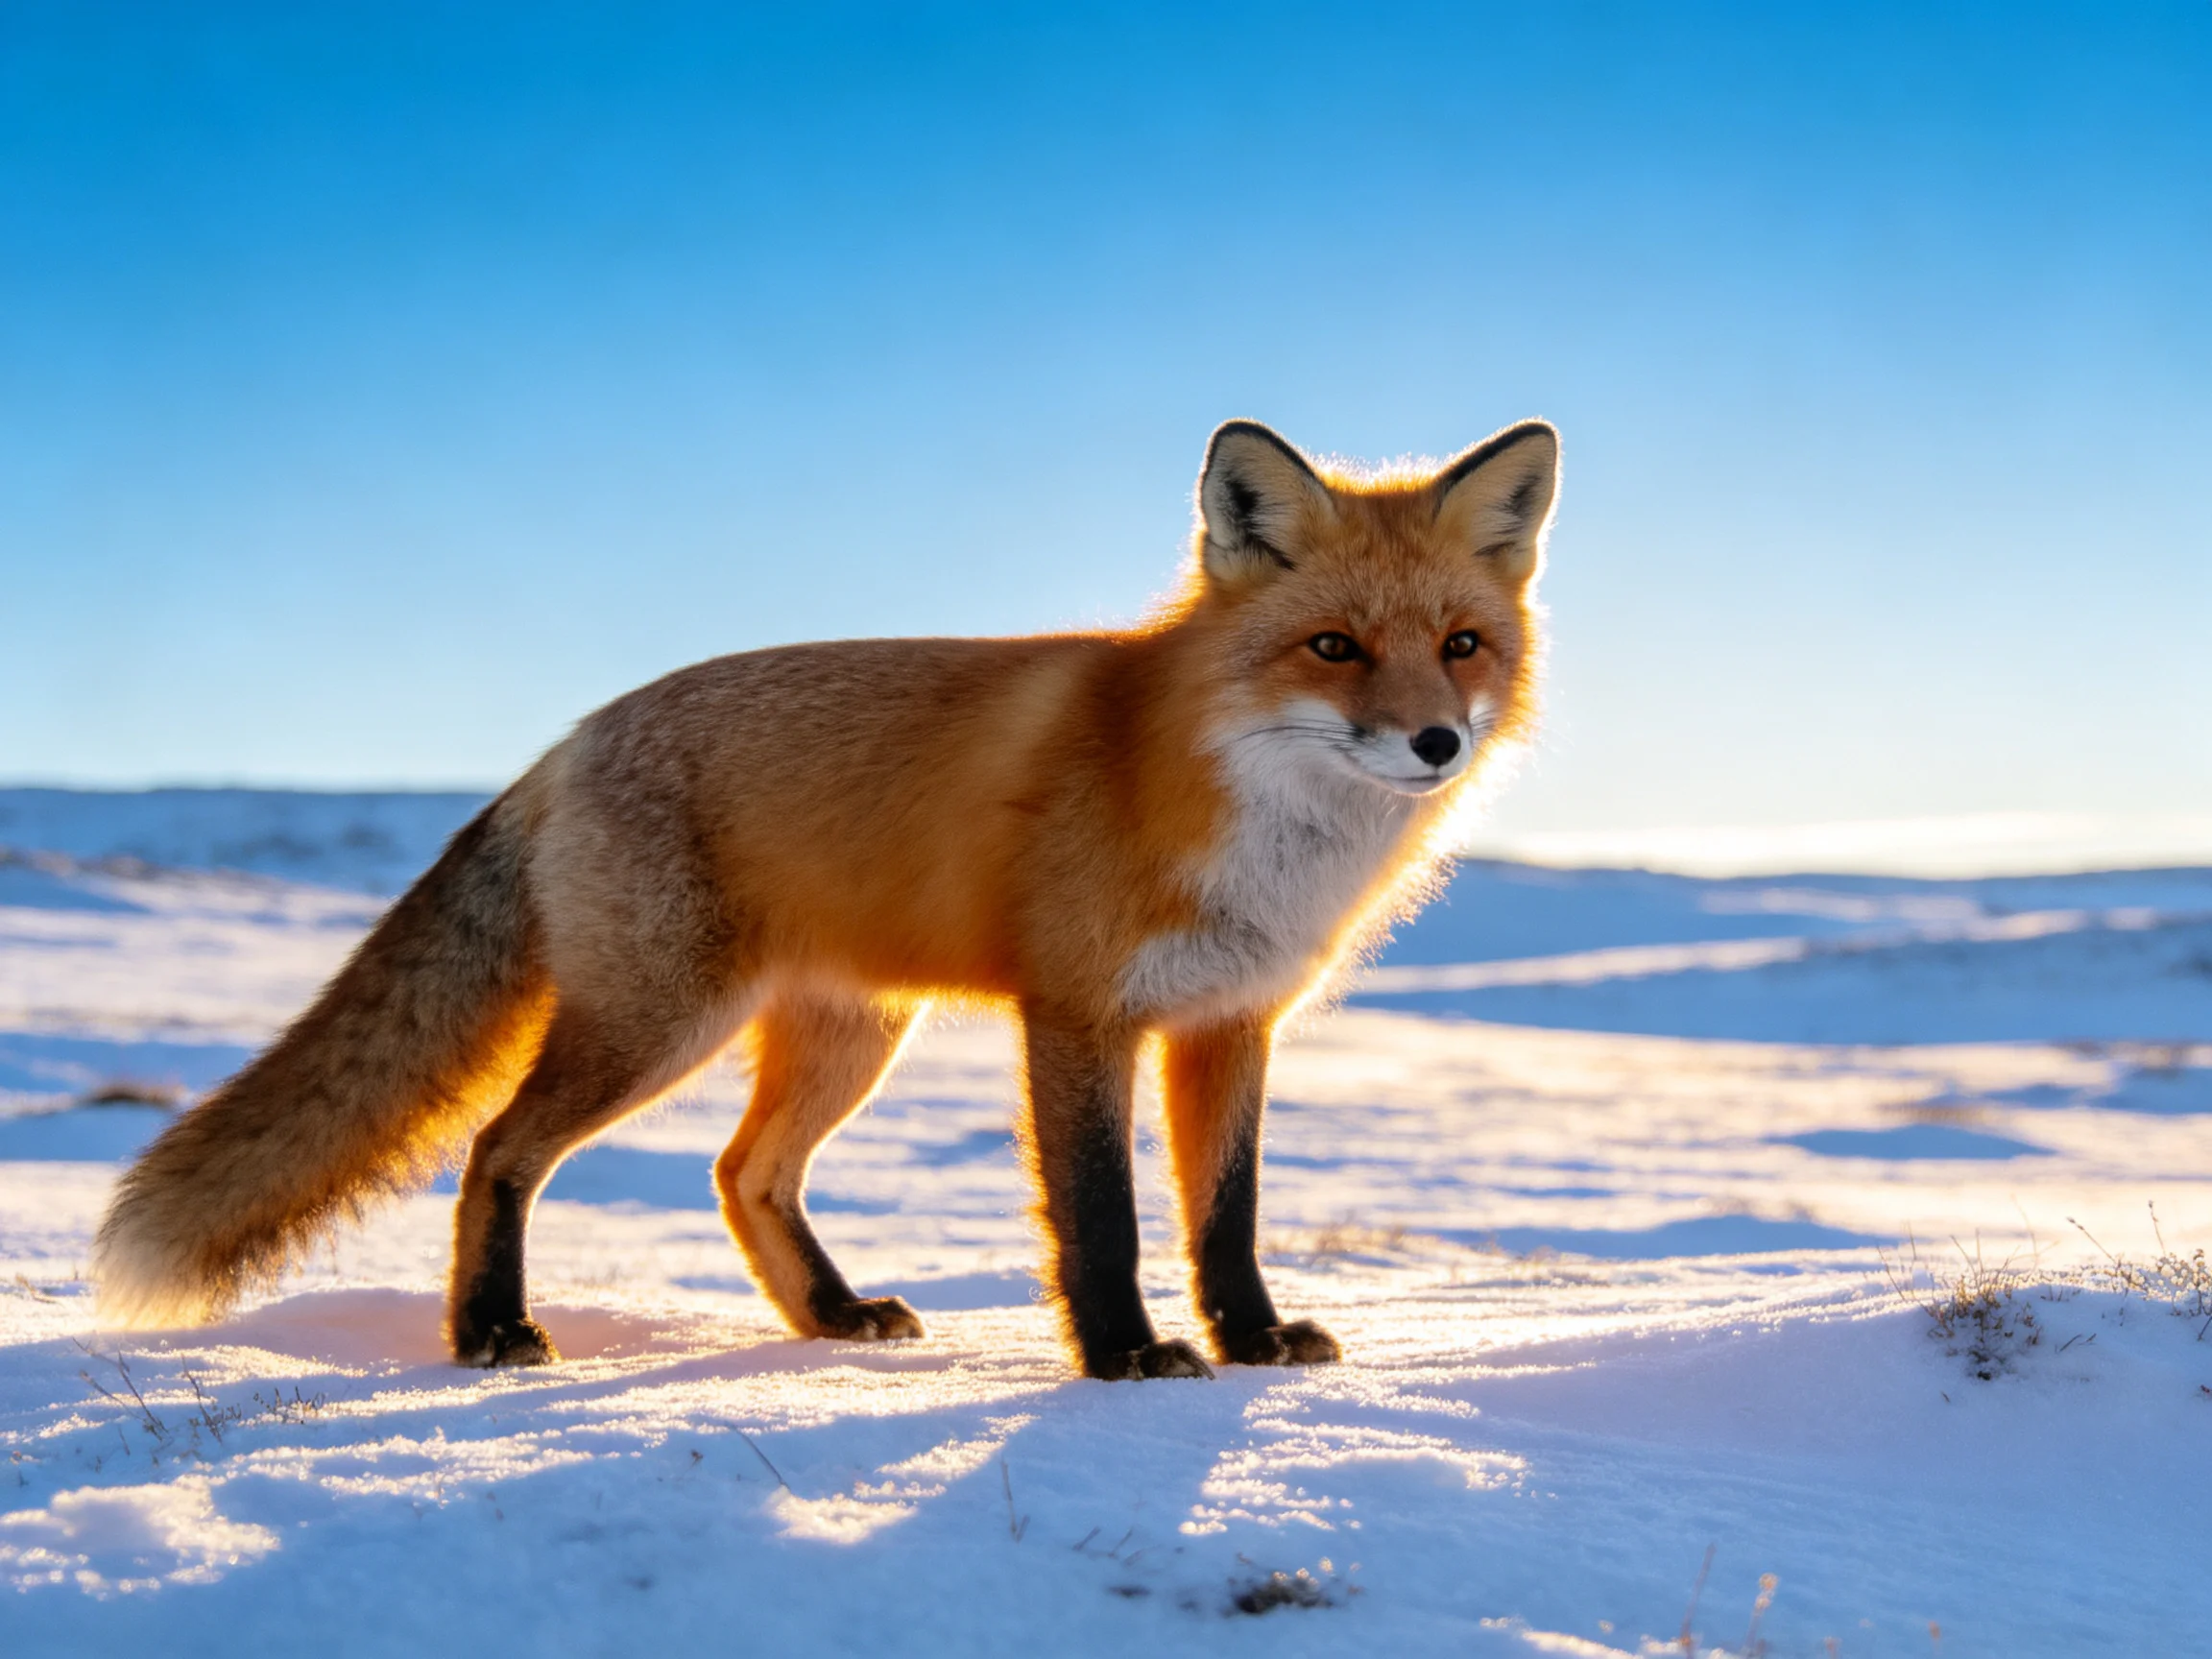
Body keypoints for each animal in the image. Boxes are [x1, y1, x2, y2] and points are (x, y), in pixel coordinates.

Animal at [94, 417, 1559, 1381]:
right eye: (1334, 647)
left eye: (1461, 646)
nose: (1437, 744)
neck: (1248, 819)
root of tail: (565, 742)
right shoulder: (1078, 1016)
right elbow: (1104, 1217)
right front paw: (1127, 1361)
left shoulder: (1228, 1025)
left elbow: (1227, 1217)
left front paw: (1252, 1343)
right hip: (658, 1025)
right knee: (499, 1151)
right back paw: (490, 1333)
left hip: (851, 1036)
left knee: (744, 1175)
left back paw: (832, 1321)